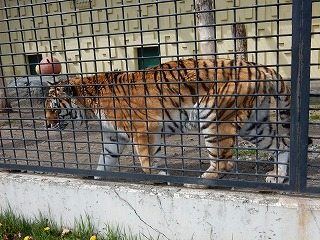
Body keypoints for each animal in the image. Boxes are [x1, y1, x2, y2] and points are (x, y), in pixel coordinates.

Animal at [44, 58, 292, 184]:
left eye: (53, 109)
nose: (47, 125)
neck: (89, 101)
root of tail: (261, 67)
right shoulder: (116, 137)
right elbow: (105, 161)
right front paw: (99, 178)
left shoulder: (144, 129)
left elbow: (146, 162)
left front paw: (160, 176)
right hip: (254, 124)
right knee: (281, 144)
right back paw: (277, 176)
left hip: (214, 118)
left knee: (224, 162)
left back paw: (202, 180)